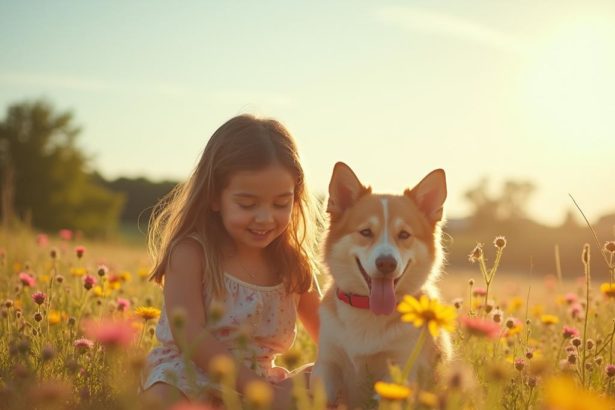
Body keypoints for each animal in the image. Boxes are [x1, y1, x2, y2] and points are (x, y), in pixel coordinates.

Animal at [312, 162, 452, 408]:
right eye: (366, 232)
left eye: (404, 234)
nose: (386, 263)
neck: (369, 313)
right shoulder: (328, 364)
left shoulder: (401, 368)